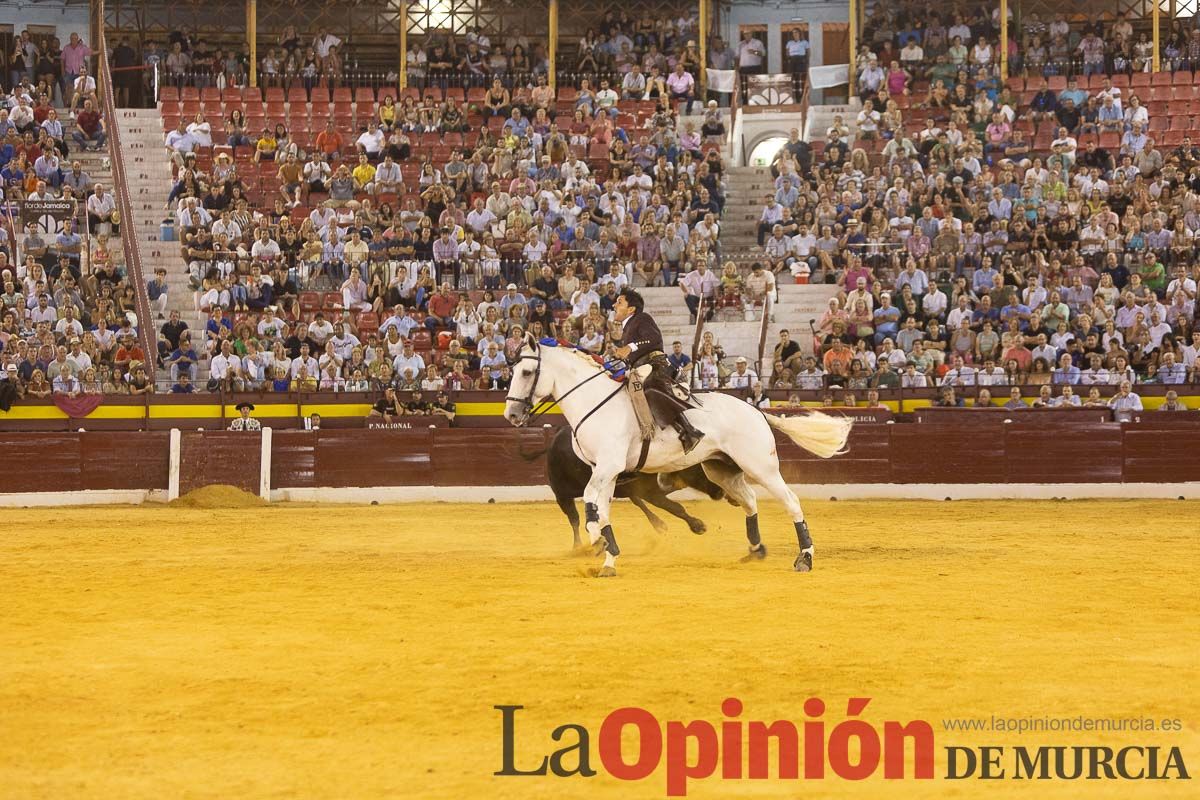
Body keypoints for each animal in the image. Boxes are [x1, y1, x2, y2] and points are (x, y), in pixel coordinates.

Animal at [520, 424, 724, 544]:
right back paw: (579, 547)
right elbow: (675, 507)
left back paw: (658, 524)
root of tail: (552, 442)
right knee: (574, 519)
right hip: (561, 494)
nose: (720, 492)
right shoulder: (651, 492)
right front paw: (698, 526)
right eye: (701, 469)